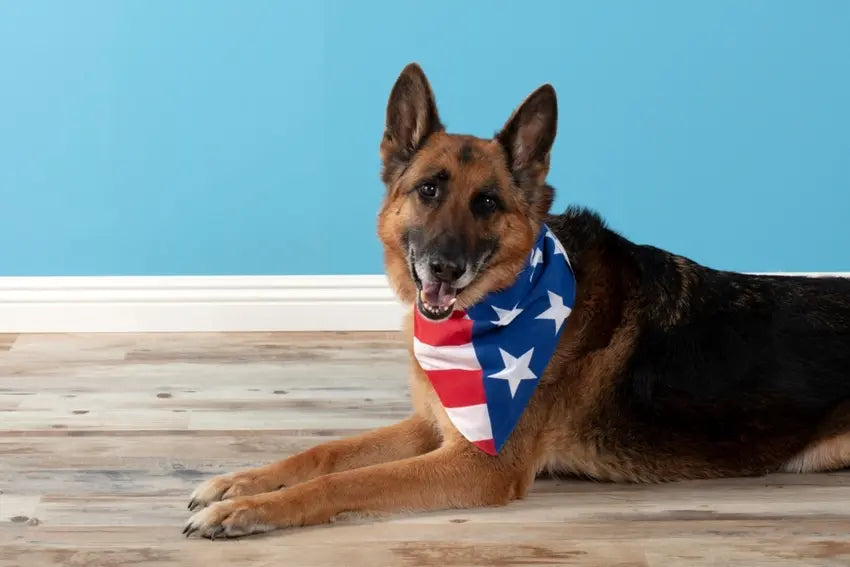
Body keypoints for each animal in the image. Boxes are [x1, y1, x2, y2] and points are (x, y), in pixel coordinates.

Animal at [184, 63, 848, 540]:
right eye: (428, 191)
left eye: (486, 204)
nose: (444, 267)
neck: (499, 308)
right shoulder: (437, 425)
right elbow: (327, 452)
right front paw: (240, 484)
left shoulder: (479, 464)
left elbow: (346, 483)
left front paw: (247, 511)